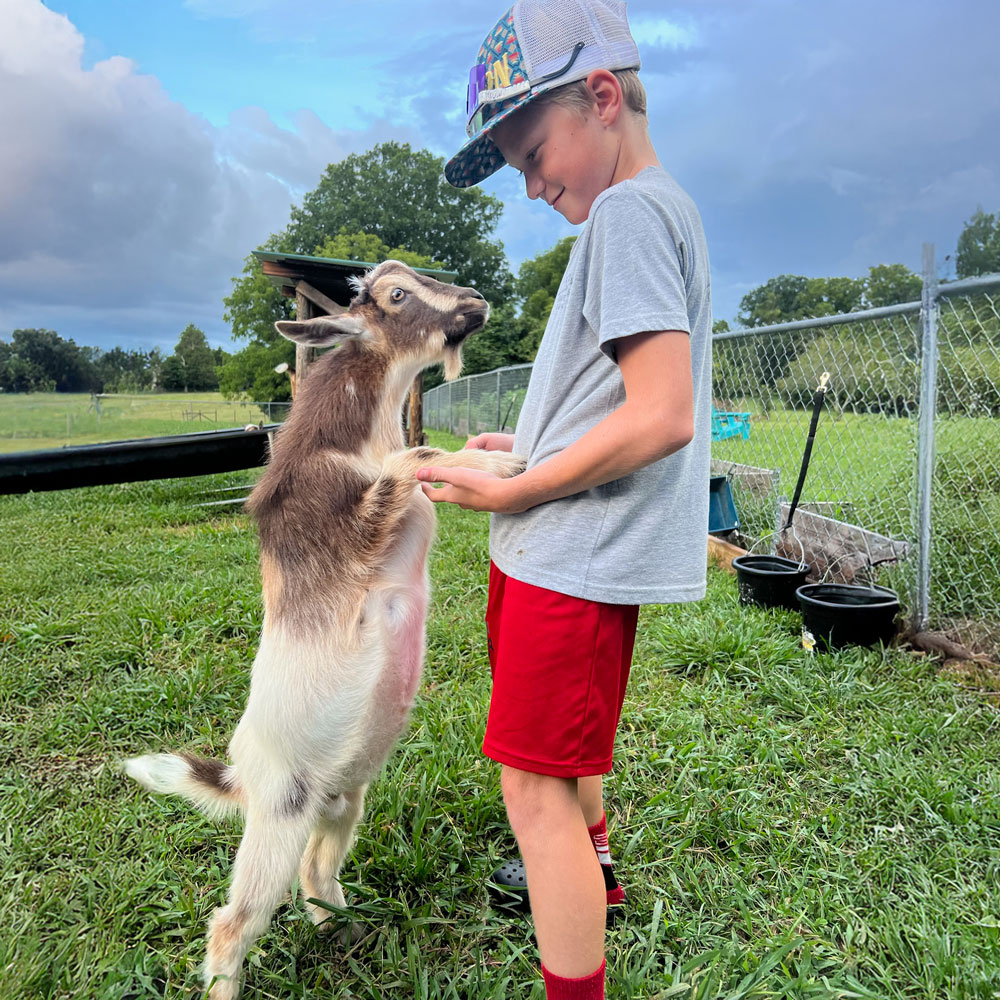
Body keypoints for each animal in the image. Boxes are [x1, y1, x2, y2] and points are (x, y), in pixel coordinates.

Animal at [125, 260, 524, 1000]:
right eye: (395, 294)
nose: (477, 303)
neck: (349, 442)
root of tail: (241, 777)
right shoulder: (349, 527)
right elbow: (419, 455)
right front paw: (505, 464)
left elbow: (424, 455)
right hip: (278, 820)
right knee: (232, 922)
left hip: (341, 801)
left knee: (317, 868)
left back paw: (347, 930)